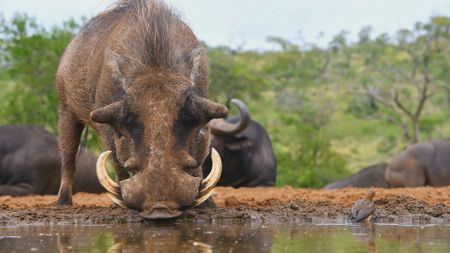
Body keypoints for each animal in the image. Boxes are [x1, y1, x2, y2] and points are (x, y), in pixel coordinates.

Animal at [55, 0, 227, 219]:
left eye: (199, 131)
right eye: (121, 134)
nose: (160, 209)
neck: (155, 67)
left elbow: (199, 161)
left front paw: (209, 207)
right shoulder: (106, 122)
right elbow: (116, 159)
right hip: (66, 109)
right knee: (68, 157)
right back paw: (63, 203)